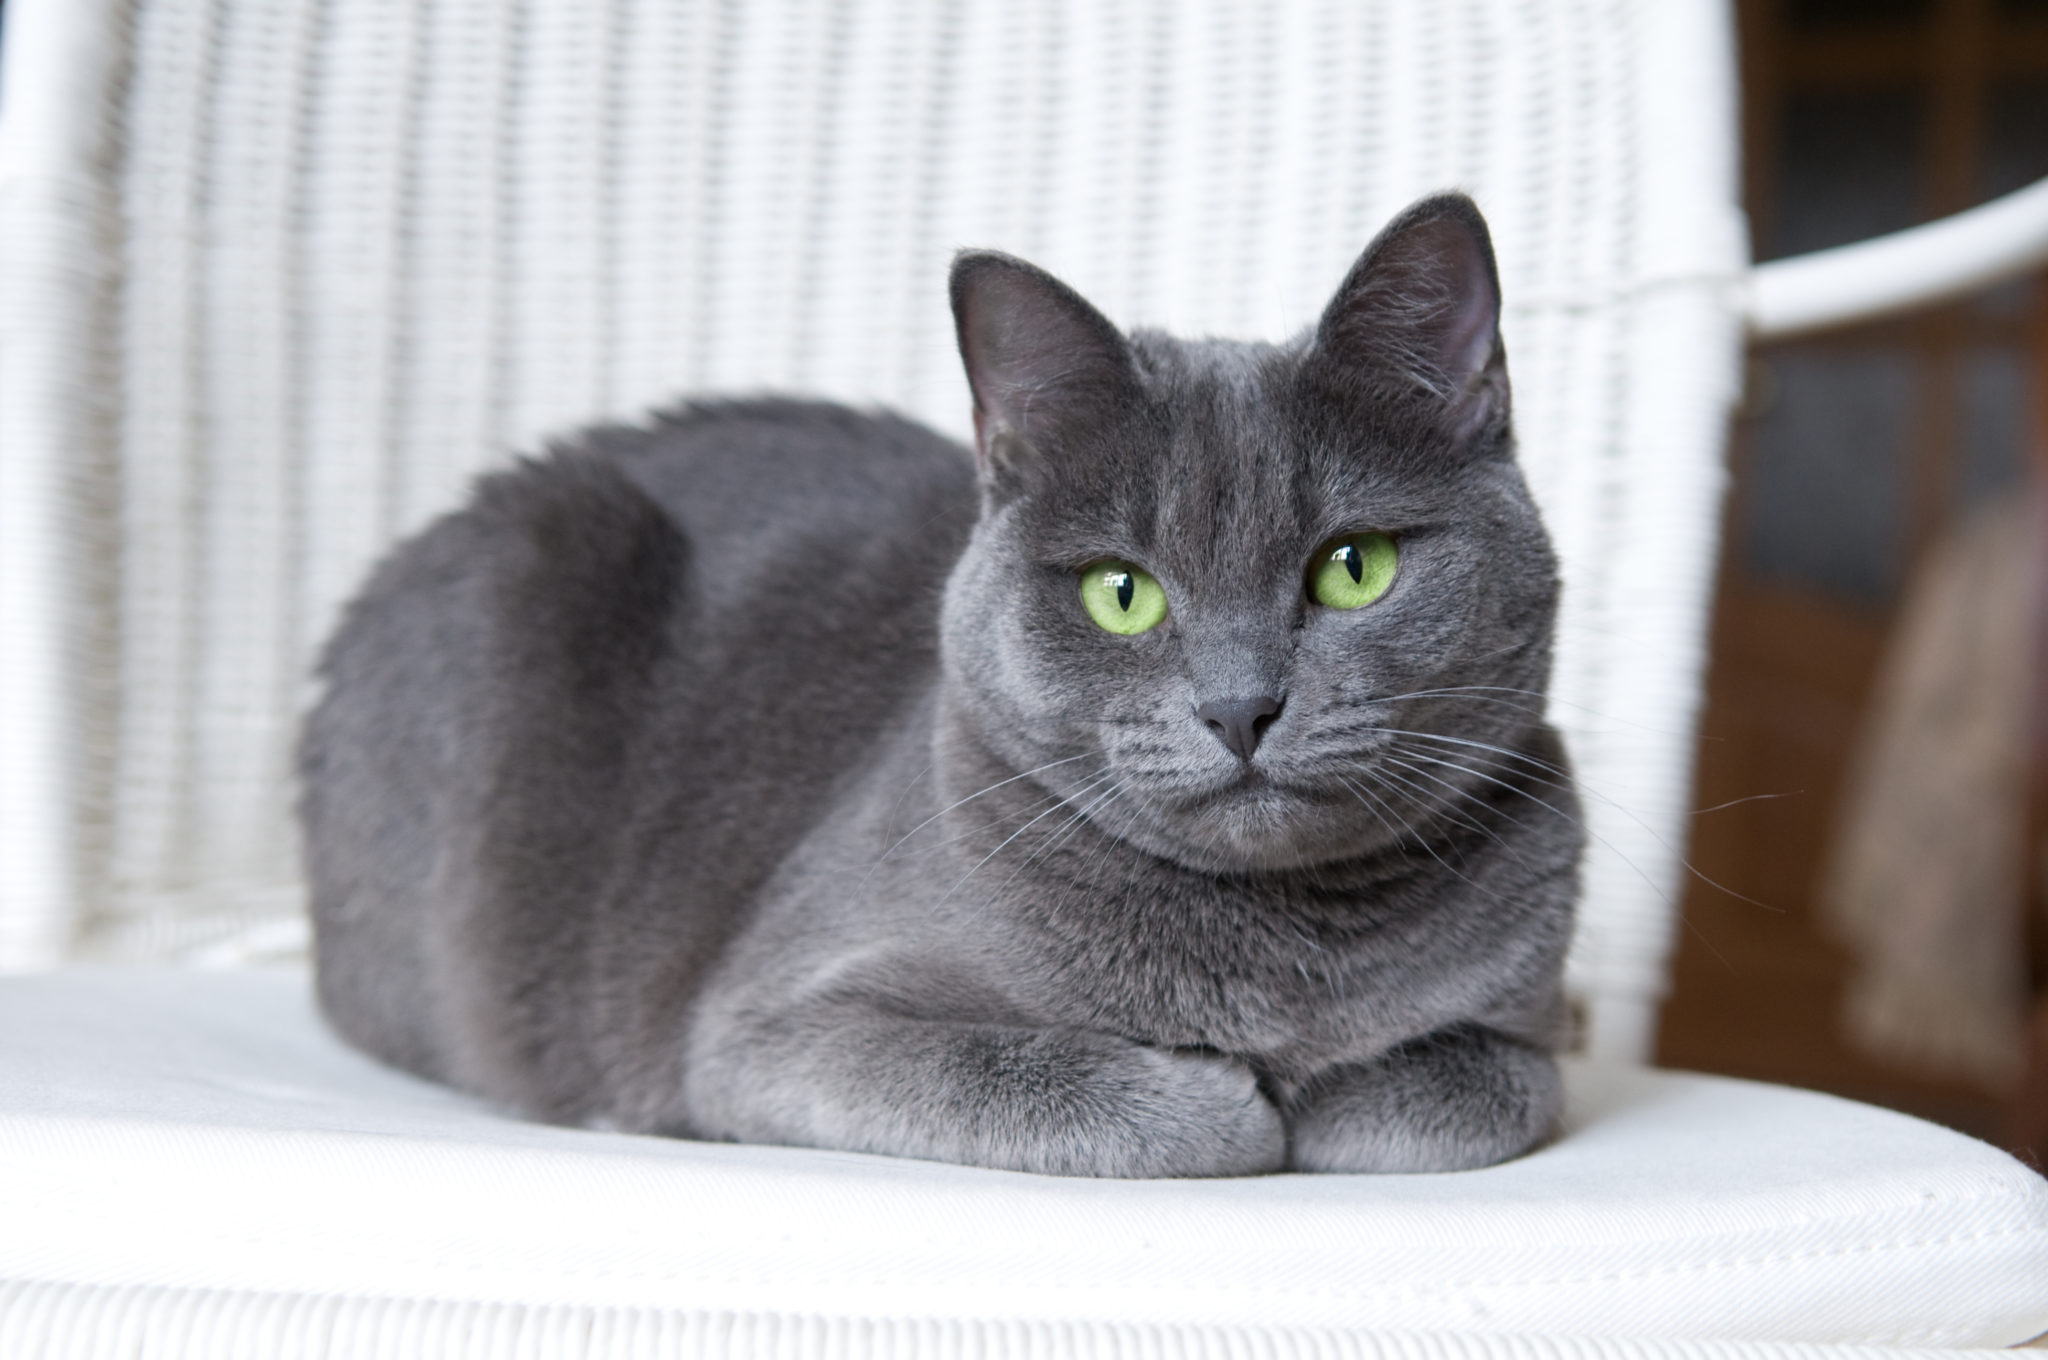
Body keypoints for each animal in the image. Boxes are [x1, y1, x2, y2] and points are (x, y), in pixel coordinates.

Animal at [303, 193, 1581, 1179]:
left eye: (1352, 566)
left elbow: (1492, 1082)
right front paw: (1232, 1099)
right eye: (1122, 593)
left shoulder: (1523, 1001)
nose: (1239, 705)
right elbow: (1055, 1080)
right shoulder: (773, 1030)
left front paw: (1332, 1092)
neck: (1277, 955)